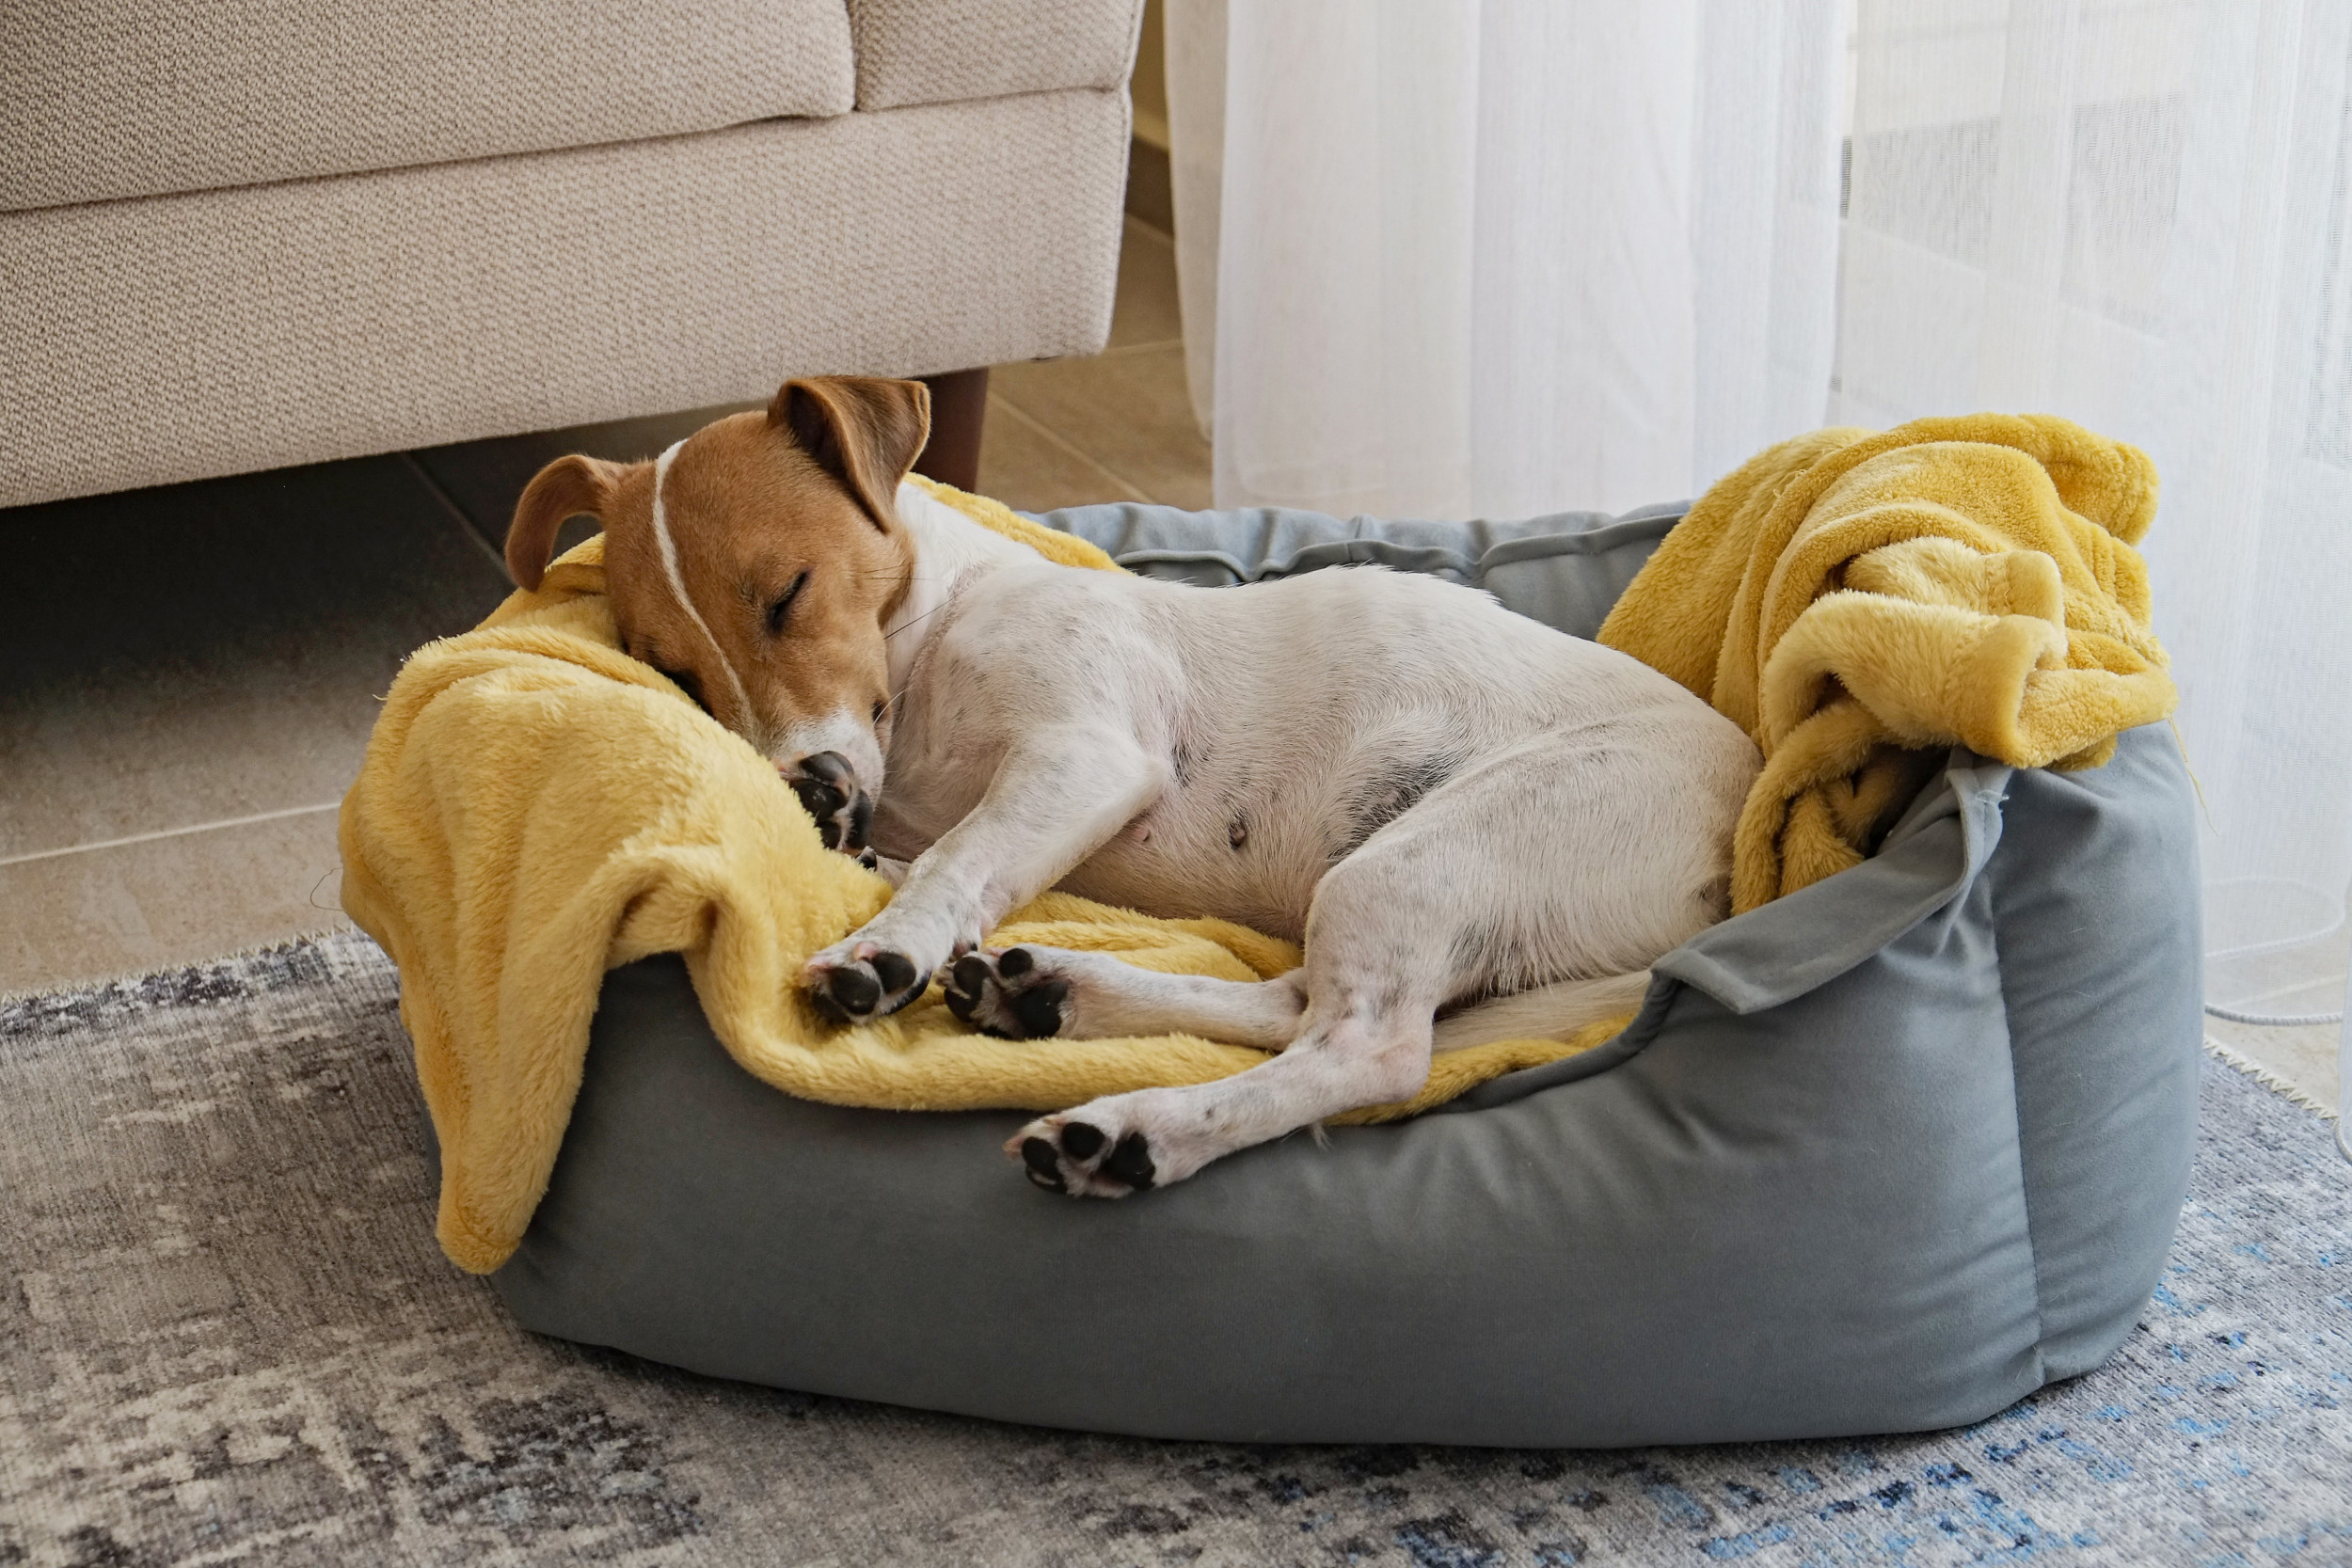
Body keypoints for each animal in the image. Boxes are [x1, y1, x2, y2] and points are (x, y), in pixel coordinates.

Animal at [515, 380, 1769, 1203]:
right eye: (672, 671)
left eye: (787, 593)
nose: (808, 792)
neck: (931, 644)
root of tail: (1734, 864)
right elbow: (935, 856)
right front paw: (883, 882)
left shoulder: (1085, 754)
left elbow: (957, 860)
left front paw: (884, 947)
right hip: (1386, 881)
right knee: (1292, 1002)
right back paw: (1052, 991)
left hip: (1427, 855)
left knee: (1366, 1050)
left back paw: (1130, 1128)